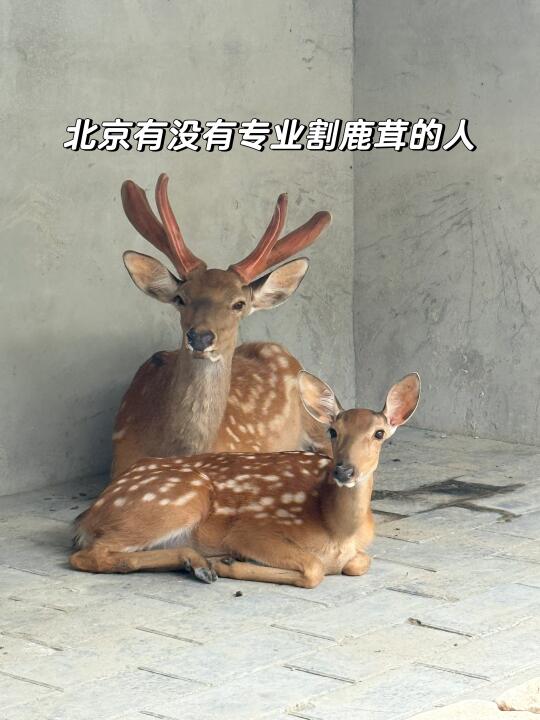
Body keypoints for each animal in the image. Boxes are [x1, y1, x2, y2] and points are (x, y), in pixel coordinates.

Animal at [71, 371, 420, 589]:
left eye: (379, 434)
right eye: (333, 431)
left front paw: (224, 563)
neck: (335, 529)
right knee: (89, 555)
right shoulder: (253, 529)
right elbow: (314, 568)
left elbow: (359, 563)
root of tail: (87, 517)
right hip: (178, 500)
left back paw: (198, 564)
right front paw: (231, 563)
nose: (344, 471)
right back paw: (206, 563)